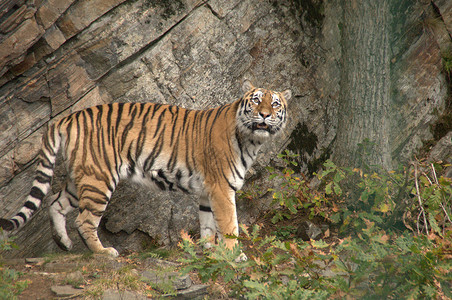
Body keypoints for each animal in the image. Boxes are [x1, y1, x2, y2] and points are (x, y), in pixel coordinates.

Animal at [0, 80, 292, 258]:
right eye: (256, 101)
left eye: (275, 103)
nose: (265, 115)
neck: (251, 140)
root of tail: (69, 117)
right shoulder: (221, 188)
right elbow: (230, 225)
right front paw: (234, 254)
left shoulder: (207, 192)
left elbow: (208, 225)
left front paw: (208, 251)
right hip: (99, 179)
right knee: (84, 220)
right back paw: (104, 252)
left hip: (81, 177)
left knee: (55, 203)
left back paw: (64, 243)